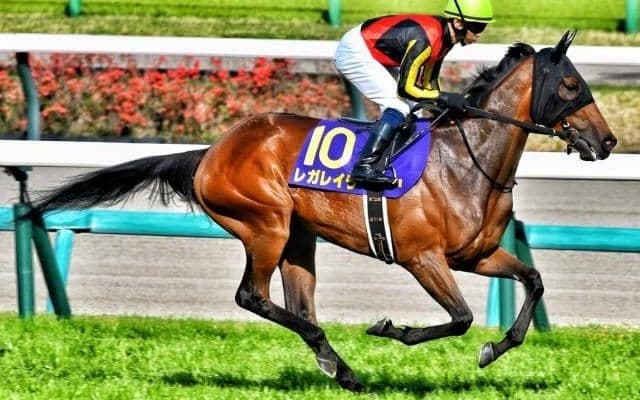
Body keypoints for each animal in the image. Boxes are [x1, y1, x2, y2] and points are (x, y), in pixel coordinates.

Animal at [31, 31, 616, 391]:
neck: (465, 161)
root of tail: (212, 151)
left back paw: (338, 366)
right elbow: (460, 318)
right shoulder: (422, 258)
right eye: (571, 85)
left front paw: (495, 349)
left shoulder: (477, 255)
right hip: (265, 224)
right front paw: (390, 329)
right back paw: (337, 362)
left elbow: (532, 282)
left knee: (299, 305)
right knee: (252, 296)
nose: (608, 141)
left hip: (299, 236)